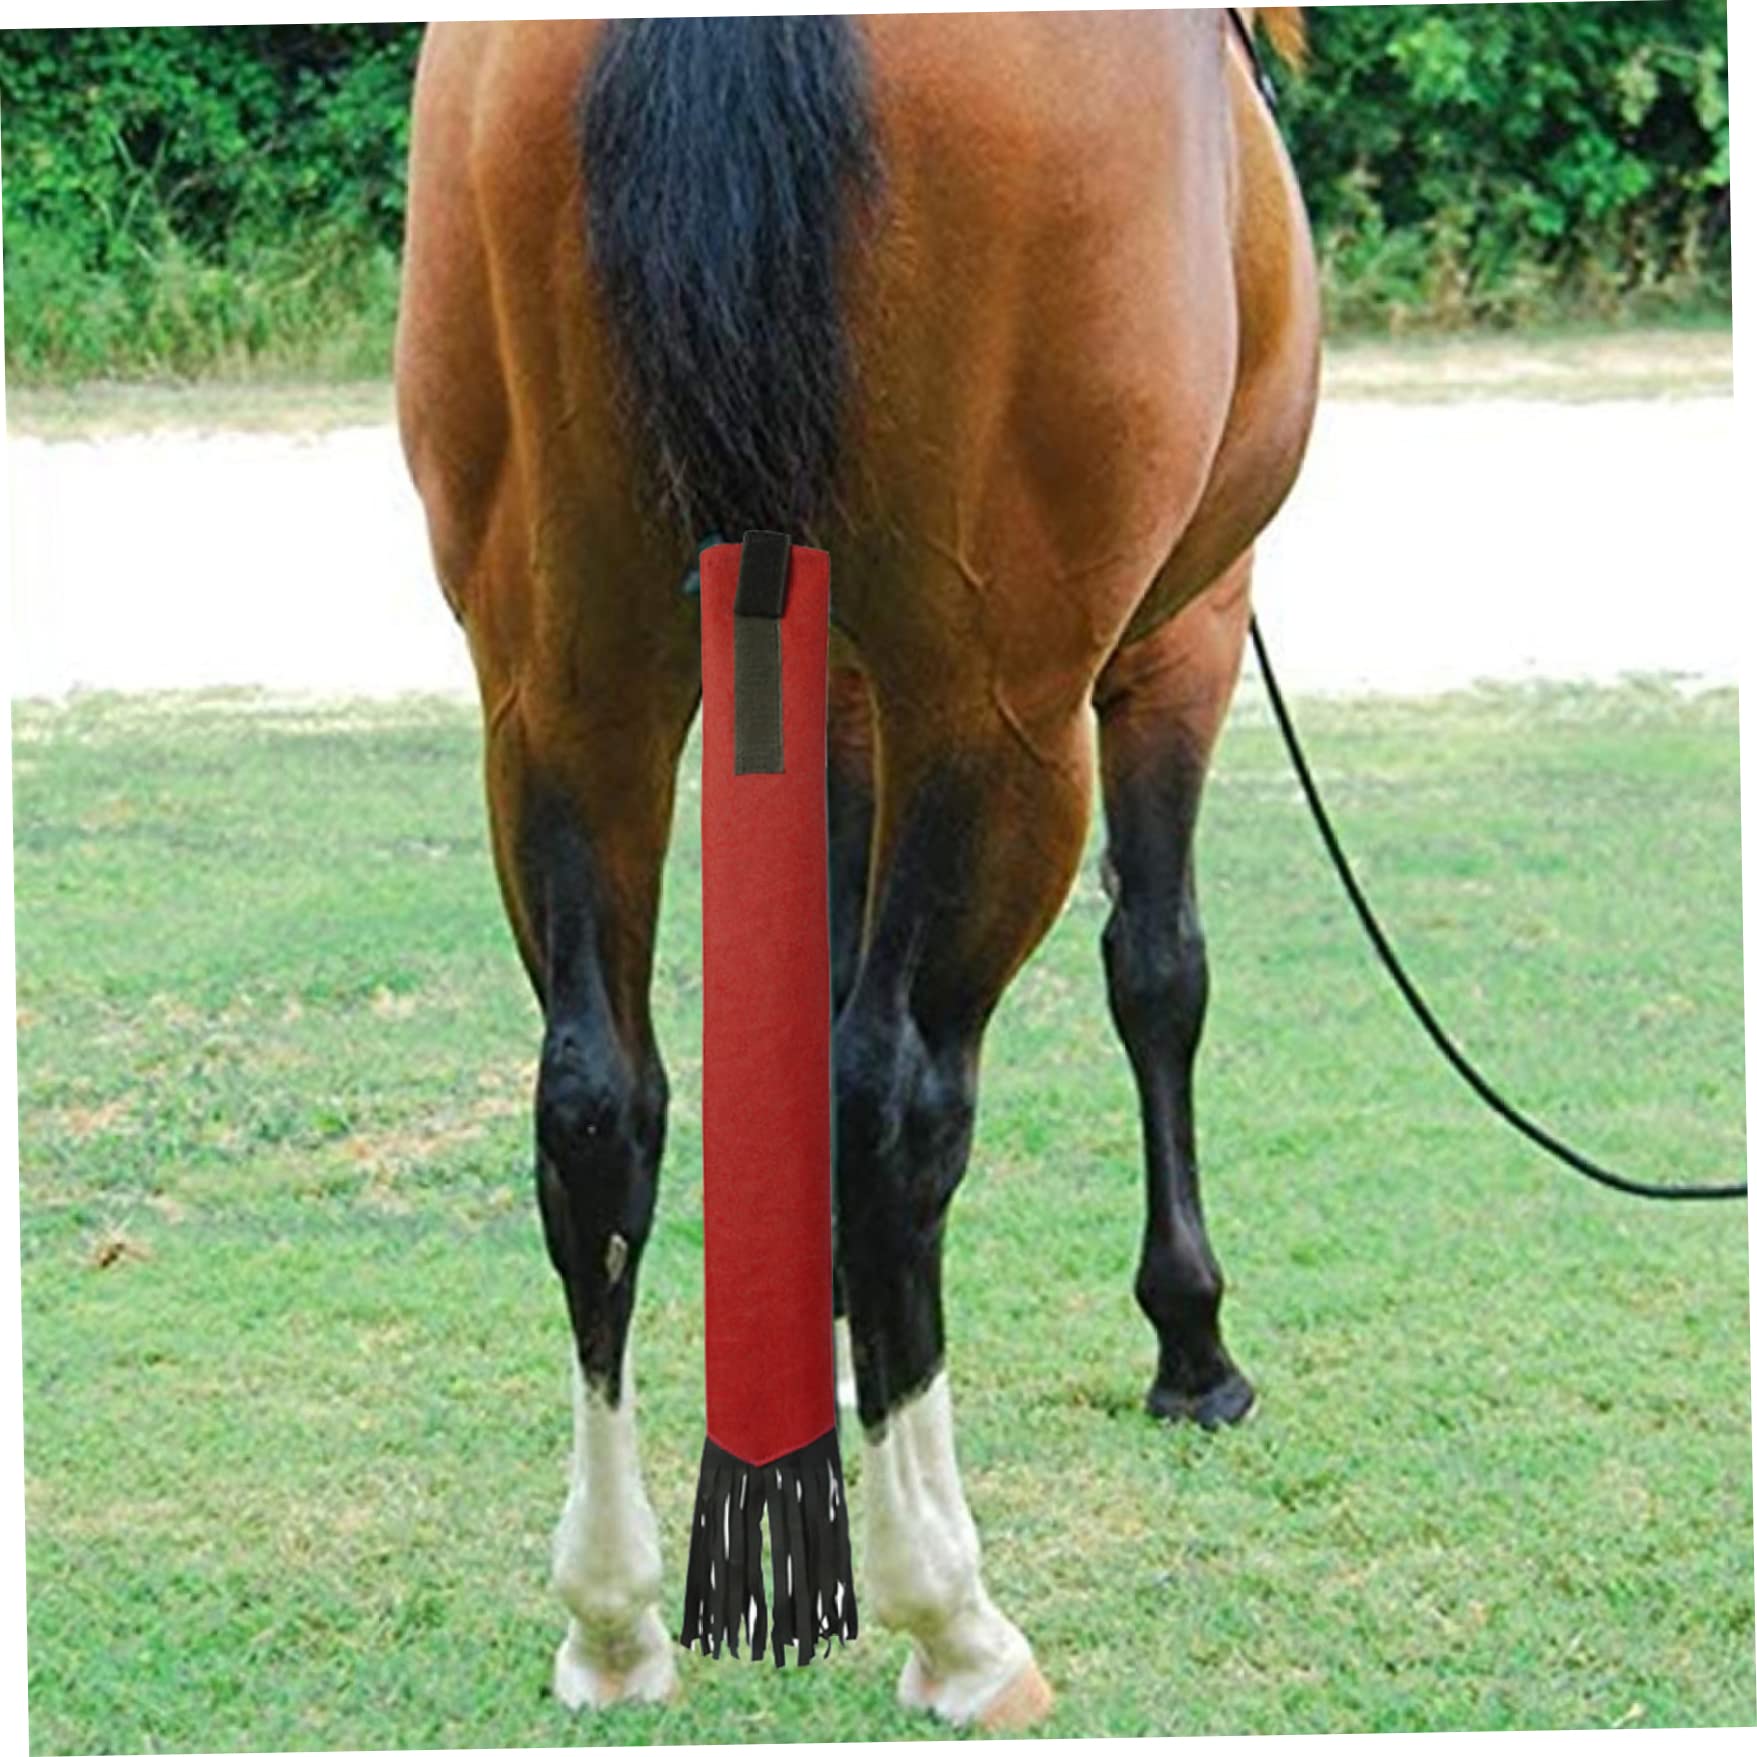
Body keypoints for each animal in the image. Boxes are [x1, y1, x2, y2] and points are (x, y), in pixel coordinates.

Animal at [396, 5, 1318, 1727]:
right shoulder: (1183, 631)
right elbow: (1157, 974)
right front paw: (1191, 1341)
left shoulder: (827, 689)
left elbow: (798, 1008)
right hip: (1002, 705)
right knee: (899, 1102)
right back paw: (952, 1620)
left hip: (562, 681)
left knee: (595, 1103)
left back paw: (615, 1620)